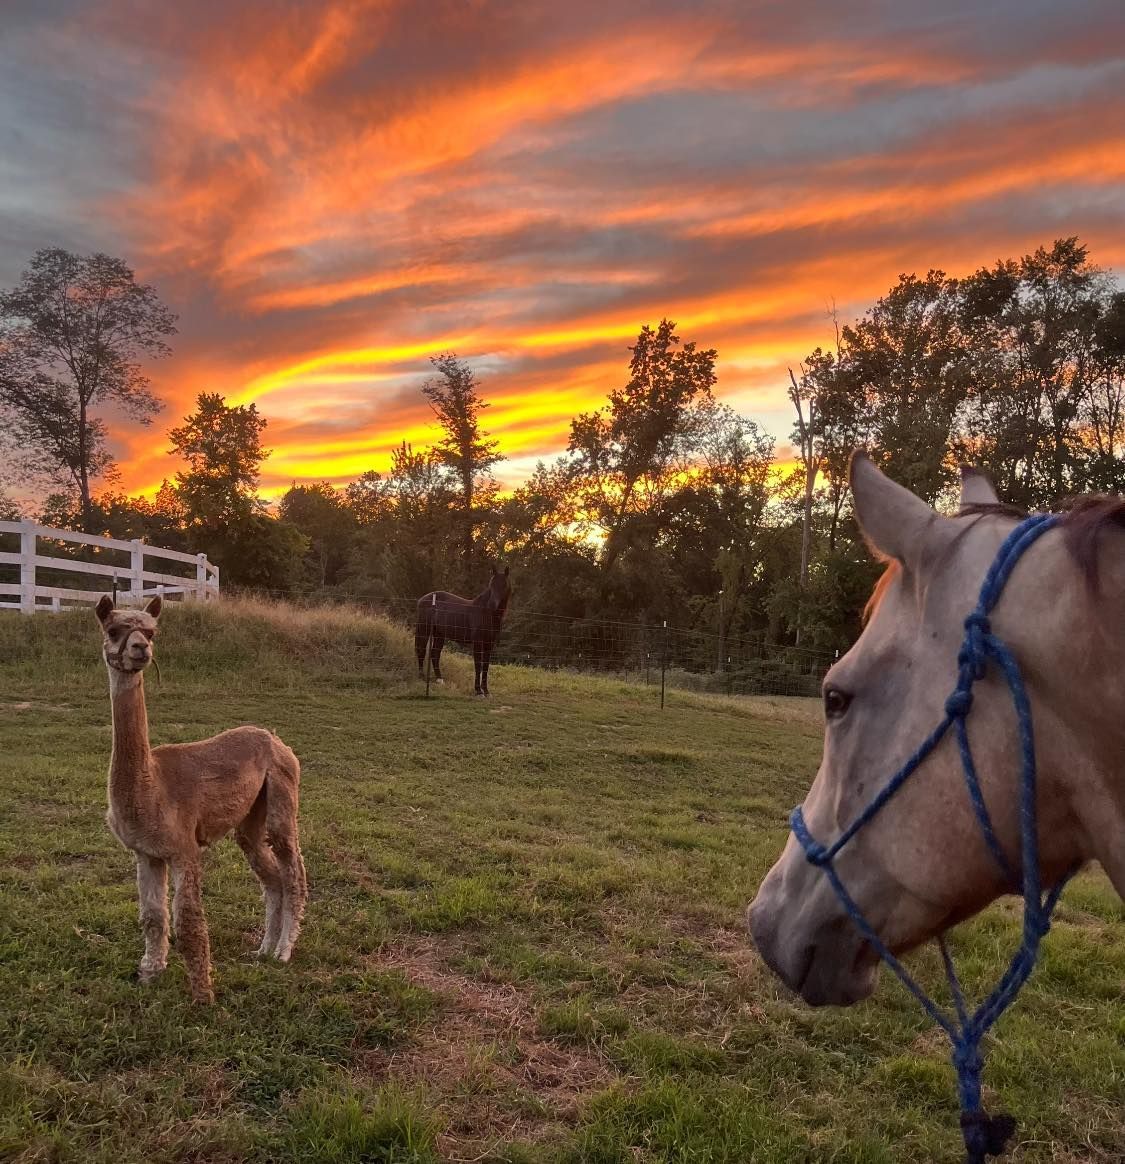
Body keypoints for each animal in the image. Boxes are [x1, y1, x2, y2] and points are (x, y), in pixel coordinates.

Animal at [415, 565, 511, 697]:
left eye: (504, 585)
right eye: (491, 585)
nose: (492, 605)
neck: (486, 613)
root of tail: (422, 599)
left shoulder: (489, 644)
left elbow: (486, 666)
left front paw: (486, 691)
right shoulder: (478, 643)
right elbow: (478, 665)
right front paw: (478, 691)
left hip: (439, 634)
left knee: (435, 654)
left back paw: (440, 680)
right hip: (424, 630)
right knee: (422, 651)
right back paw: (421, 677)